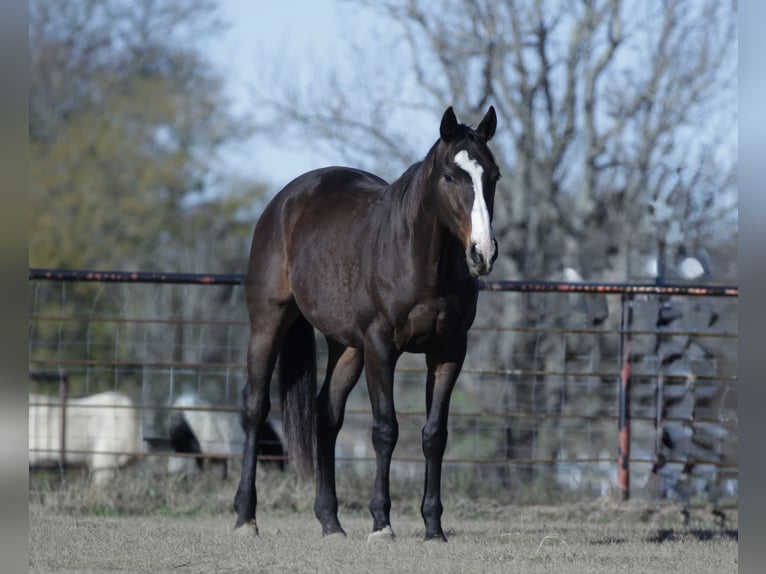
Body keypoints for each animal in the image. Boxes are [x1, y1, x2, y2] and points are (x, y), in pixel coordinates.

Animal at [233, 106, 500, 541]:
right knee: (255, 408)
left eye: (493, 175)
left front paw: (433, 527)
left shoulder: (448, 351)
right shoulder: (381, 347)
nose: (483, 253)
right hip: (268, 324)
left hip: (346, 348)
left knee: (326, 416)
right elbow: (385, 430)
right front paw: (381, 523)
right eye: (450, 175)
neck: (420, 261)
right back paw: (245, 516)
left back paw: (330, 521)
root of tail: (283, 201)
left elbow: (434, 435)